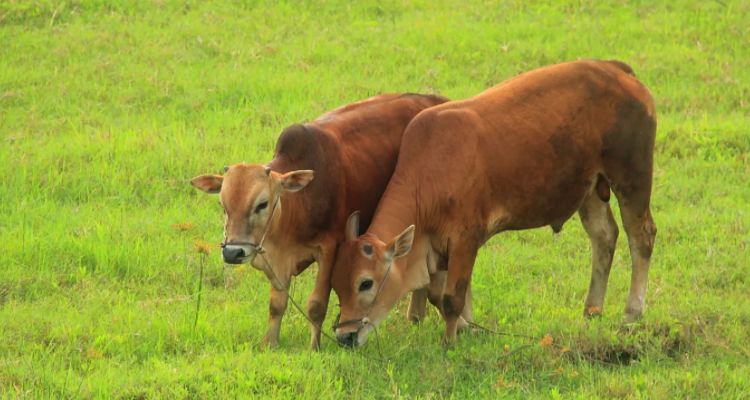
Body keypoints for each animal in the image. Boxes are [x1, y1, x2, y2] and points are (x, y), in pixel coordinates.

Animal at [191, 94, 450, 350]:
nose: (233, 252)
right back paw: (415, 318)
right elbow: (277, 304)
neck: (297, 205)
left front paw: (314, 347)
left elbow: (316, 305)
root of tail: (436, 99)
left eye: (262, 204)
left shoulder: (328, 250)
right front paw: (270, 344)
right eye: (223, 205)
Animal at [332, 59, 656, 346]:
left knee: (641, 237)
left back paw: (632, 313)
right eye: (335, 285)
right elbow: (438, 294)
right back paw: (592, 310)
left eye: (365, 282)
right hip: (589, 189)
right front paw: (469, 328)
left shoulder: (465, 238)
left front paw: (450, 341)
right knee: (604, 237)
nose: (344, 336)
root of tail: (615, 69)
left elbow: (451, 298)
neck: (430, 173)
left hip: (632, 176)